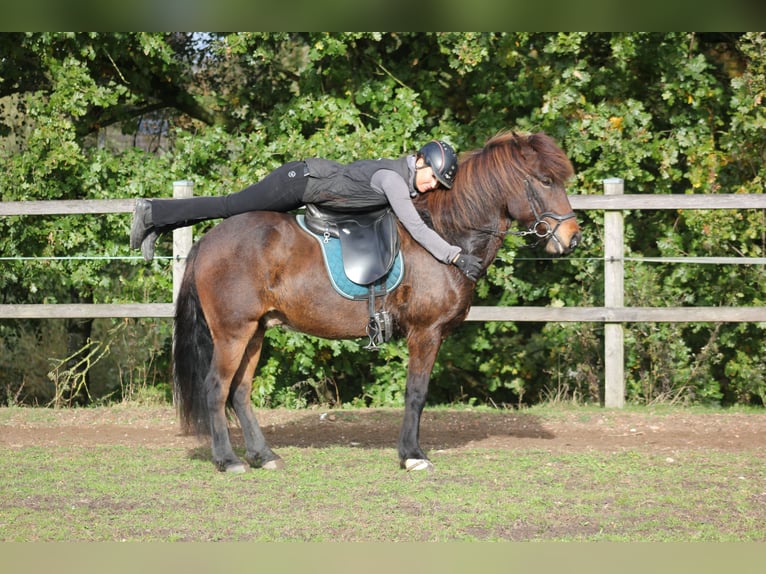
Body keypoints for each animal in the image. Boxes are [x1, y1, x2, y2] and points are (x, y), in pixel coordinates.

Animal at [172, 133, 584, 474]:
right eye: (545, 180)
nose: (572, 238)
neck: (445, 235)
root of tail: (207, 242)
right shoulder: (426, 333)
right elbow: (416, 394)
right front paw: (412, 455)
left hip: (255, 331)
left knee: (240, 392)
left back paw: (263, 455)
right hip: (233, 333)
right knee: (216, 388)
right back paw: (228, 460)